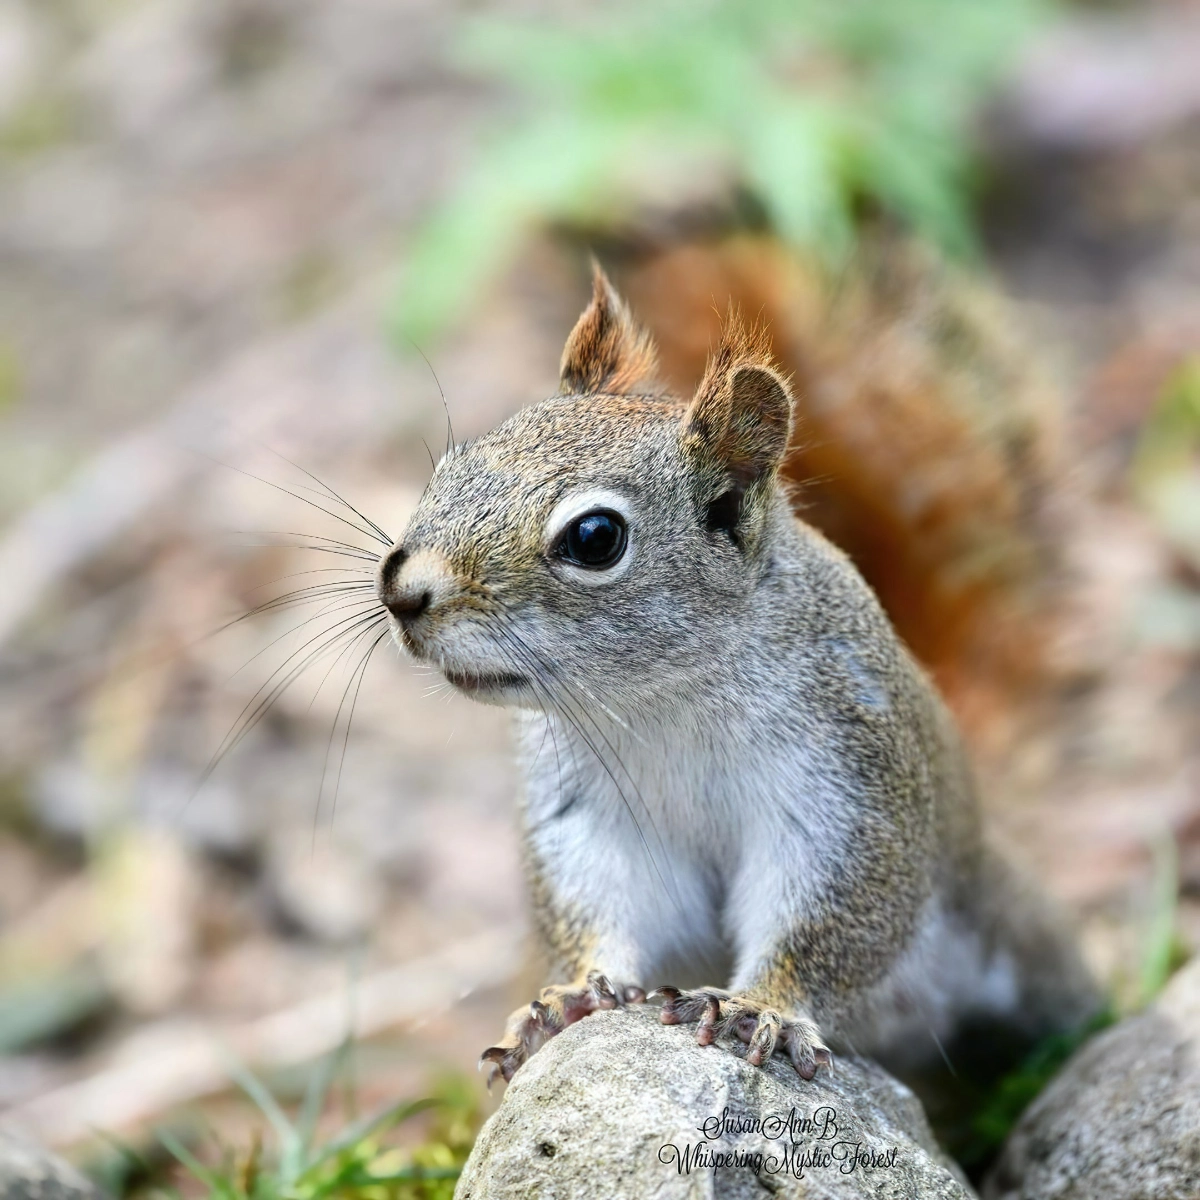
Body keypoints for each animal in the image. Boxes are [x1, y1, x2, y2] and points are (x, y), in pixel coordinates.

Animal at [374, 267, 1099, 1099]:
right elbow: (603, 901)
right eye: (449, 467)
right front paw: (570, 999)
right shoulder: (590, 814)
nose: (403, 591)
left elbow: (831, 915)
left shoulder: (847, 782)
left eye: (595, 538)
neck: (660, 700)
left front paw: (760, 1009)